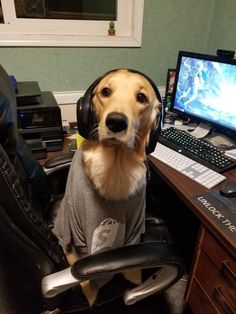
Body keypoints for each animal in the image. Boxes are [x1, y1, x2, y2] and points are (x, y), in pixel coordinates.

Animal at [52, 69, 161, 306]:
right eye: (106, 91)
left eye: (141, 97)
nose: (116, 122)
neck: (115, 167)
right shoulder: (79, 231)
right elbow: (81, 267)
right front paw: (91, 288)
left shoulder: (135, 221)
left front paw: (133, 273)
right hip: (65, 224)